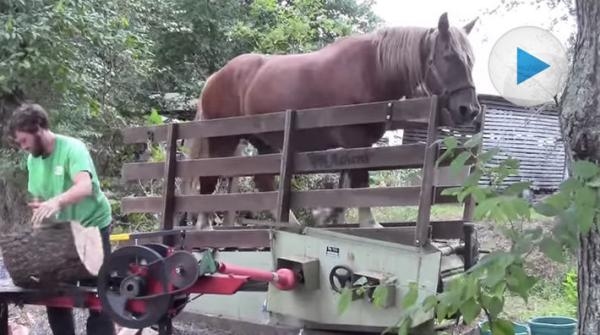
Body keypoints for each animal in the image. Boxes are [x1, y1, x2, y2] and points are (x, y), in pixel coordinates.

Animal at [185, 12, 480, 228]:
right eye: (449, 56)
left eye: (471, 60)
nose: (469, 109)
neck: (372, 69)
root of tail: (215, 76)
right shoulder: (355, 138)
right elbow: (360, 182)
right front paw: (369, 224)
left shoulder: (354, 143)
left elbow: (345, 183)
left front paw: (332, 216)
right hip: (223, 139)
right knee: (209, 177)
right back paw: (204, 225)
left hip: (264, 142)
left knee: (263, 180)